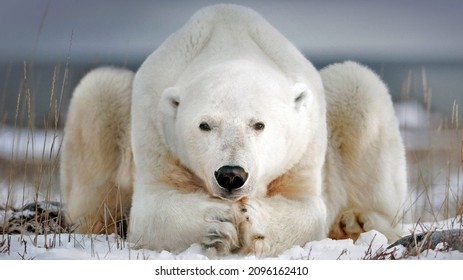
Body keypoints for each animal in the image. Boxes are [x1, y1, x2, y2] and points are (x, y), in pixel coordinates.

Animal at [59, 4, 408, 258]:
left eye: (259, 124)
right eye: (205, 125)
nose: (231, 175)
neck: (230, 42)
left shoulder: (304, 142)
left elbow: (306, 208)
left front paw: (252, 219)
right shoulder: (154, 126)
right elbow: (152, 208)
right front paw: (218, 222)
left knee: (358, 87)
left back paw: (356, 221)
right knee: (99, 92)